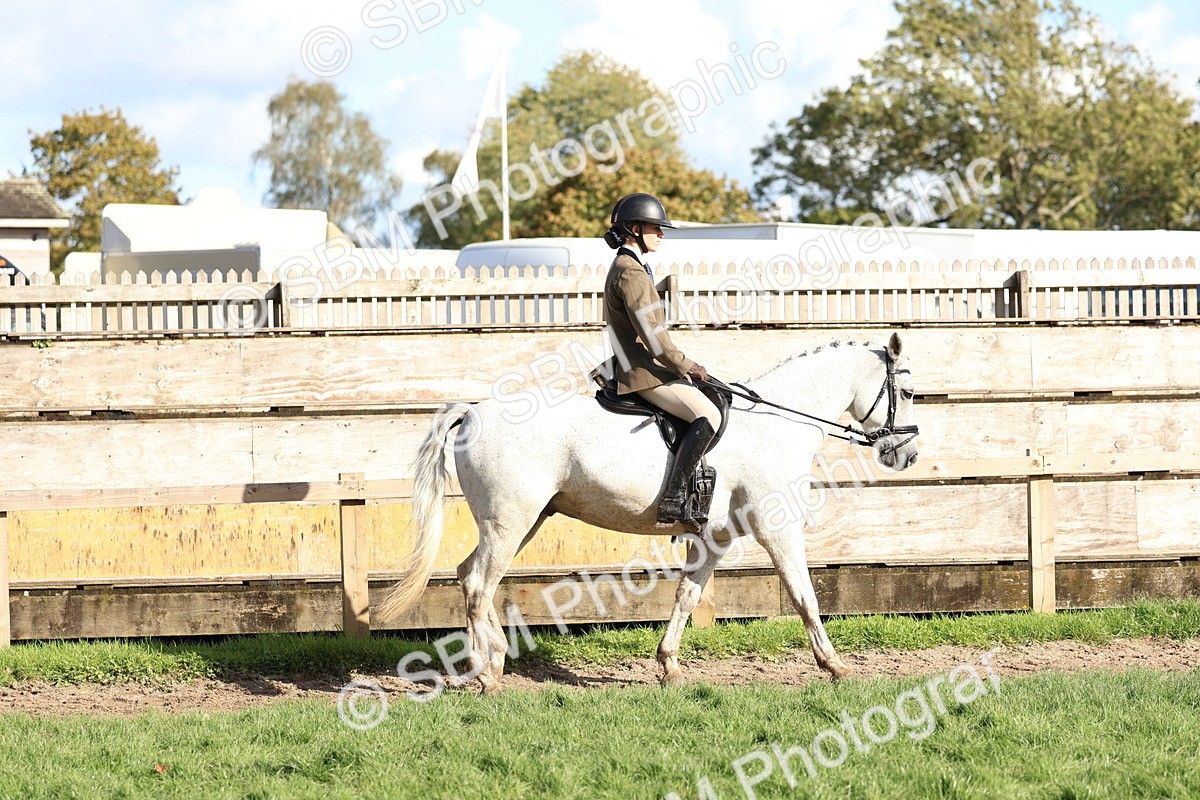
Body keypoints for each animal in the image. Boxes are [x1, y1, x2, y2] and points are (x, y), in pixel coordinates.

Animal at [379, 332, 920, 694]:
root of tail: (474, 411)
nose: (908, 455)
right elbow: (804, 595)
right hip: (509, 521)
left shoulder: (716, 538)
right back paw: (488, 677)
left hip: (521, 522)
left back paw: (489, 664)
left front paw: (670, 667)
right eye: (910, 393)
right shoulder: (778, 530)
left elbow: (687, 595)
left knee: (470, 575)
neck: (778, 423)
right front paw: (835, 666)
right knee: (477, 584)